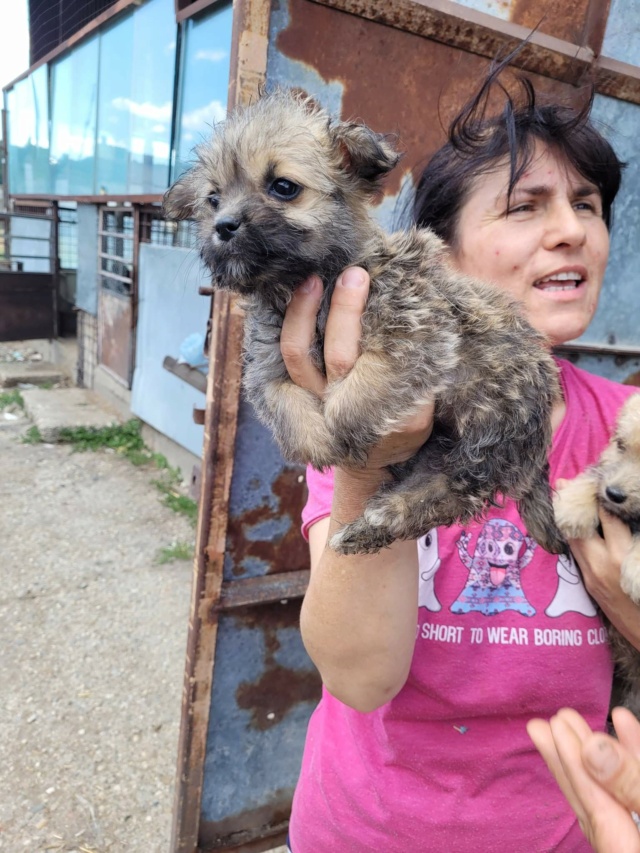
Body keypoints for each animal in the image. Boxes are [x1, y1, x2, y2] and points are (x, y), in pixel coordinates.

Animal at [162, 90, 564, 556]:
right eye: (212, 199)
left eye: (283, 187)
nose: (224, 226)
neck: (311, 284)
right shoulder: (267, 368)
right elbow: (286, 407)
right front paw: (317, 441)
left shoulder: (413, 338)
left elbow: (355, 396)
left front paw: (340, 433)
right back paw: (362, 531)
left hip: (488, 444)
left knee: (451, 493)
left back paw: (381, 516)